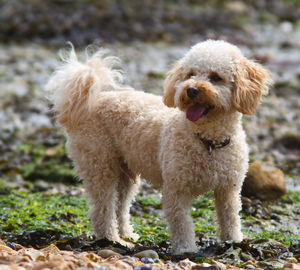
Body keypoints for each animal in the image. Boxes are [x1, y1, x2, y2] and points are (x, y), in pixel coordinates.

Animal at [46, 40, 272, 255]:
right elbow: (182, 224)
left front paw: (233, 242)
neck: (208, 141)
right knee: (102, 209)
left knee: (121, 206)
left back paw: (126, 235)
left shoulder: (228, 190)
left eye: (216, 77)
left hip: (125, 173)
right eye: (190, 74)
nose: (191, 90)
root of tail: (86, 104)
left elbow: (230, 218)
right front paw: (185, 250)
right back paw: (111, 239)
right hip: (100, 165)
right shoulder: (176, 190)